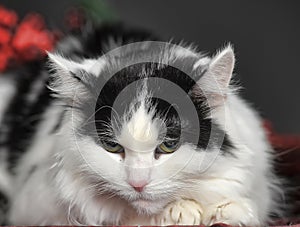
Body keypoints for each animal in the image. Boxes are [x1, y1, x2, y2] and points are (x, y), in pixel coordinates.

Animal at [0, 24, 282, 224]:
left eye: (168, 146)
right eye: (112, 147)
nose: (137, 184)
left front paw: (230, 210)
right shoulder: (37, 203)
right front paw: (181, 211)